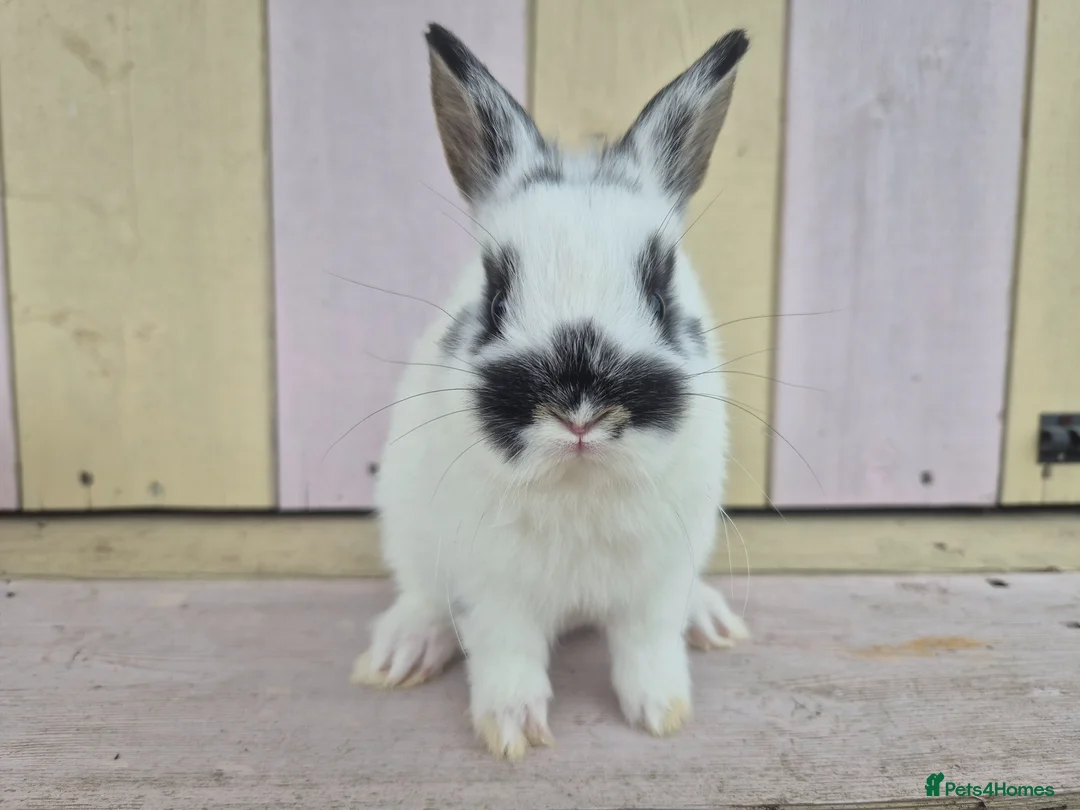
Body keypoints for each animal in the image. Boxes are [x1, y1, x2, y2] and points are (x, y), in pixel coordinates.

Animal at [351, 22, 751, 761]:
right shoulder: (494, 588)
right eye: (495, 293)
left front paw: (662, 713)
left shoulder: (656, 580)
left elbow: (649, 649)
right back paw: (403, 651)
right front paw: (512, 731)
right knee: (423, 597)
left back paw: (711, 619)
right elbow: (506, 657)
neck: (577, 480)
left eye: (661, 290)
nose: (580, 412)